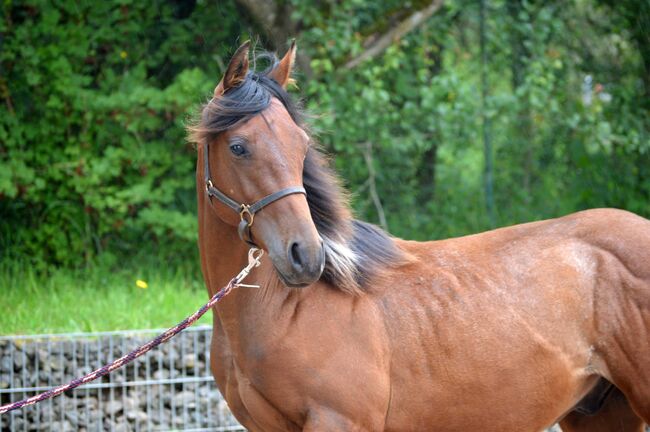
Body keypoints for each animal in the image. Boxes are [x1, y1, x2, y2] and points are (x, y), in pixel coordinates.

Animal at [189, 41, 648, 432]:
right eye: (238, 147)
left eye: (301, 145)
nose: (305, 255)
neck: (285, 311)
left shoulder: (340, 421)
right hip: (600, 413)